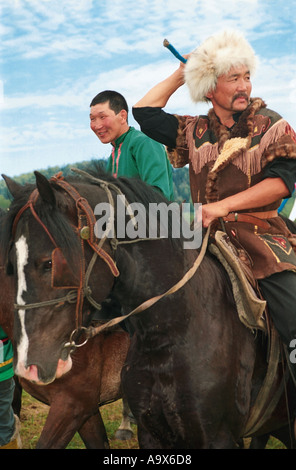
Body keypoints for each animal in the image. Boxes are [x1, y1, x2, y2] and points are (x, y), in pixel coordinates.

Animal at [1, 169, 294, 448]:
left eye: (50, 263)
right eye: (11, 266)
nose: (29, 365)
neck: (173, 331)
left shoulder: (75, 405)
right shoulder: (147, 432)